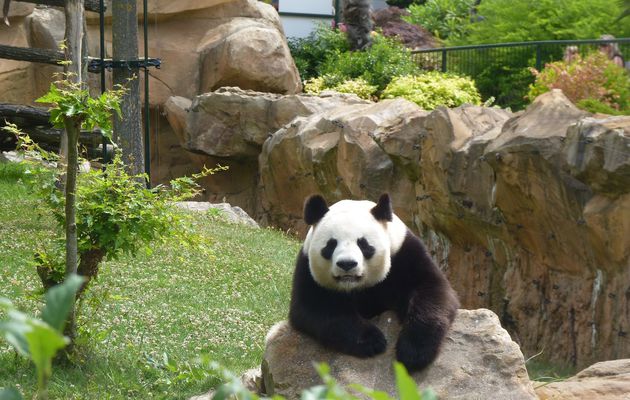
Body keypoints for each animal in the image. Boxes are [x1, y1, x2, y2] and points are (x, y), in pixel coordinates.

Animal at [290, 194, 460, 372]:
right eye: (331, 244)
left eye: (363, 244)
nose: (347, 264)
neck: (355, 288)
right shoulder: (308, 269)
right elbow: (317, 308)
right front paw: (372, 341)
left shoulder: (404, 253)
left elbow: (431, 290)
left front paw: (415, 352)